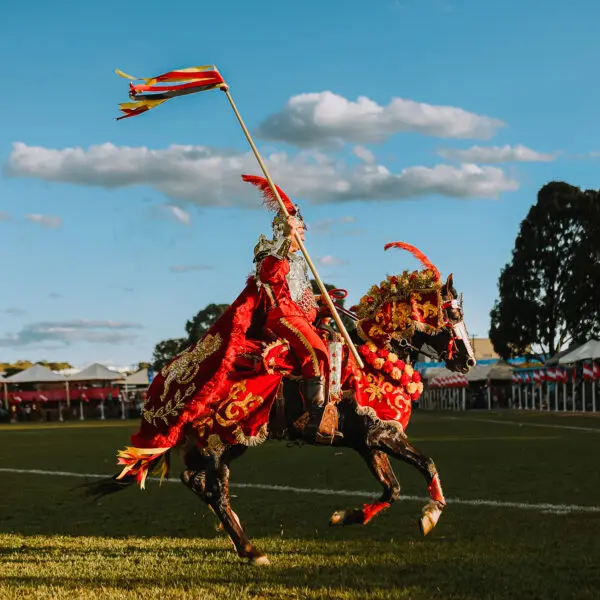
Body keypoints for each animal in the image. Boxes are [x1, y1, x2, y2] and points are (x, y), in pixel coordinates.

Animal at [85, 244, 478, 568]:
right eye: (452, 314)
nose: (468, 360)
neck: (374, 356)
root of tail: (169, 383)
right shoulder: (382, 436)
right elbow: (426, 464)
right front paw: (430, 515)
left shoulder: (367, 443)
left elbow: (392, 488)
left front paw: (346, 516)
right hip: (222, 441)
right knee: (214, 489)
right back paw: (250, 550)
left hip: (226, 443)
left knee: (195, 479)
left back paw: (238, 538)